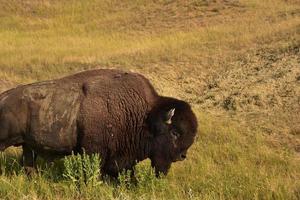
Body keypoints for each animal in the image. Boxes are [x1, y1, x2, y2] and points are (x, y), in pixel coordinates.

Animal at [0, 69, 198, 177]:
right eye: (175, 132)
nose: (182, 156)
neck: (144, 116)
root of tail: (3, 97)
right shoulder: (93, 151)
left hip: (28, 145)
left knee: (28, 164)